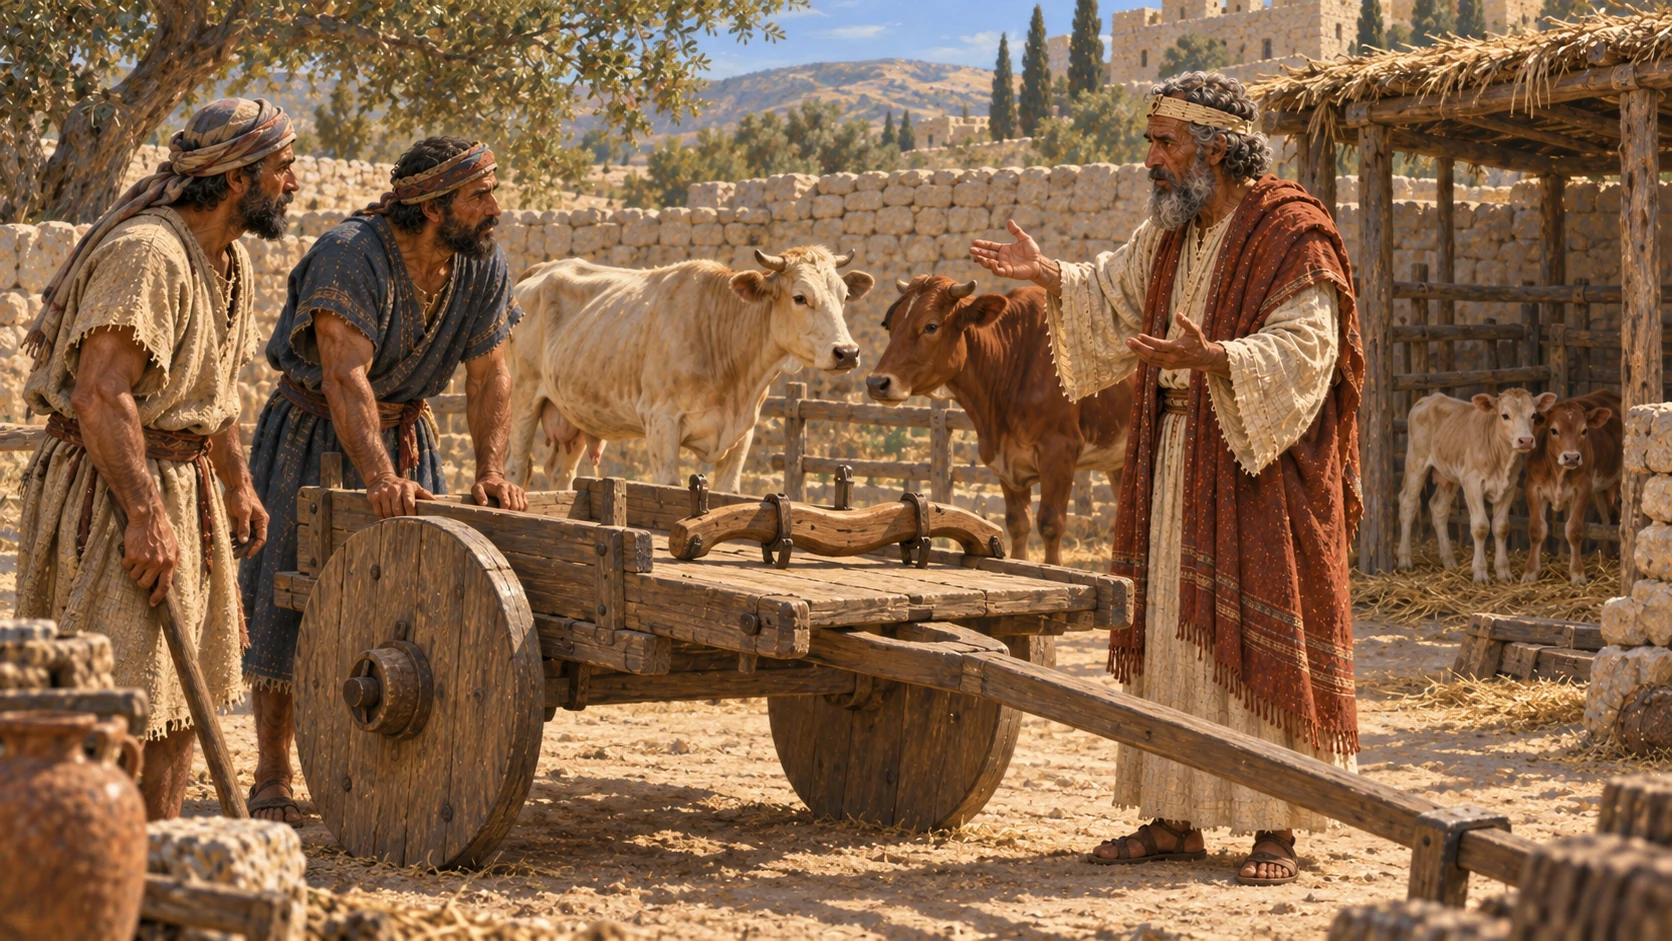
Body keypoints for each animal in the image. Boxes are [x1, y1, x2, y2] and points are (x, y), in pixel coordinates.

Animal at [506, 246, 873, 491]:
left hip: (574, 414)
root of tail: (541, 270)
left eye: (844, 296)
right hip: (523, 398)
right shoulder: (661, 423)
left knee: (559, 474)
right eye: (800, 297)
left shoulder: (742, 435)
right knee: (514, 467)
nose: (847, 352)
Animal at [863, 275, 1134, 565]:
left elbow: (1051, 524)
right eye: (889, 324)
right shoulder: (1005, 459)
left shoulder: (1060, 450)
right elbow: (1018, 523)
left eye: (931, 326)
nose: (876, 382)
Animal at [1398, 388, 1556, 583]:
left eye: (1533, 415)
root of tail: (1430, 398)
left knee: (1439, 509)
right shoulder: (1472, 483)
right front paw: (1480, 573)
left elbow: (1501, 527)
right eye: (1505, 415)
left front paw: (1503, 571)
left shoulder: (1509, 487)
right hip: (1416, 462)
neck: (1501, 461)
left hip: (1450, 477)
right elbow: (1480, 526)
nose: (1525, 440)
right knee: (1408, 504)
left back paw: (1449, 561)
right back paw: (1405, 560)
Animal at [1523, 389, 1623, 584]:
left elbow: (1574, 530)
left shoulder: (1583, 487)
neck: (1558, 473)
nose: (1571, 457)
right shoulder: (1532, 486)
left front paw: (1577, 574)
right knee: (1606, 519)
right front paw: (1530, 572)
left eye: (1584, 430)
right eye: (1553, 430)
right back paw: (1600, 553)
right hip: (1599, 490)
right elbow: (1537, 529)